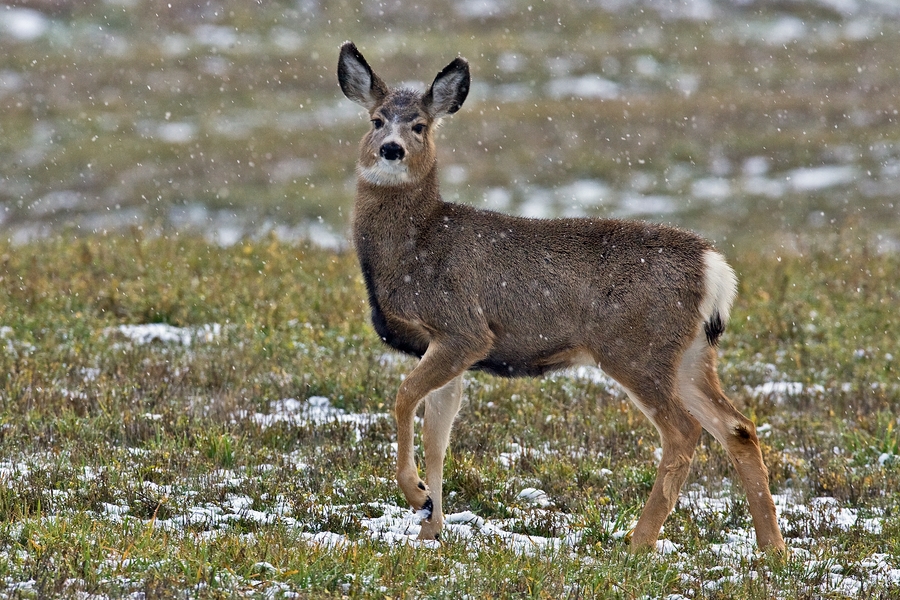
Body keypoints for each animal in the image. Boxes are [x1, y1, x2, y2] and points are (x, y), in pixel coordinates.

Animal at [338, 39, 788, 552]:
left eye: (419, 125)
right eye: (376, 119)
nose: (391, 149)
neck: (415, 248)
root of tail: (714, 269)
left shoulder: (463, 329)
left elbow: (403, 397)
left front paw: (415, 495)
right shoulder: (443, 346)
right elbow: (438, 435)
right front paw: (430, 524)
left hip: (635, 347)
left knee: (683, 431)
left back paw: (637, 542)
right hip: (690, 353)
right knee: (738, 426)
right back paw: (774, 548)